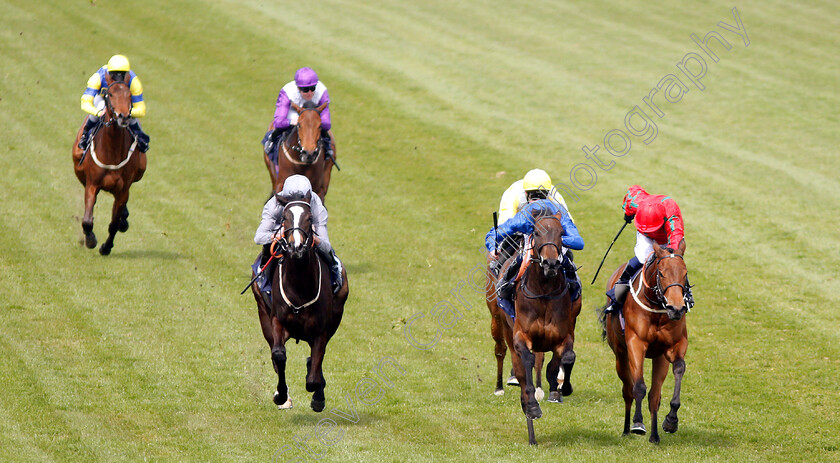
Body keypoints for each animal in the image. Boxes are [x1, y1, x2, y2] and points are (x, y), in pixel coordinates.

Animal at [72, 78, 146, 256]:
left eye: (129, 95)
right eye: (110, 94)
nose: (123, 116)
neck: (111, 151)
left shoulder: (122, 190)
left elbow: (114, 224)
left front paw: (106, 247)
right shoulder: (92, 184)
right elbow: (87, 221)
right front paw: (90, 240)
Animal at [253, 192, 352, 414]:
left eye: (309, 218)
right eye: (284, 218)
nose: (296, 247)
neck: (299, 285)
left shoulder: (321, 330)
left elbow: (314, 377)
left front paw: (318, 398)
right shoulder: (277, 321)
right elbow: (279, 355)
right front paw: (281, 396)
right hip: (263, 314)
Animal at [508, 214, 580, 446]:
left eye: (561, 233)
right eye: (537, 232)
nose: (550, 263)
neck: (544, 292)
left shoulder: (563, 336)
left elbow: (565, 358)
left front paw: (562, 387)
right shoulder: (520, 337)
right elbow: (528, 362)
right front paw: (532, 406)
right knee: (522, 375)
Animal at [600, 241, 692, 444]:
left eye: (685, 273)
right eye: (662, 273)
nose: (676, 308)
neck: (657, 307)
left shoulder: (674, 346)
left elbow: (679, 369)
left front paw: (671, 421)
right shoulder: (636, 344)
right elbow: (639, 387)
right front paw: (637, 423)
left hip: (659, 358)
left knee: (654, 396)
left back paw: (654, 436)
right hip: (620, 355)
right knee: (628, 390)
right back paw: (626, 429)